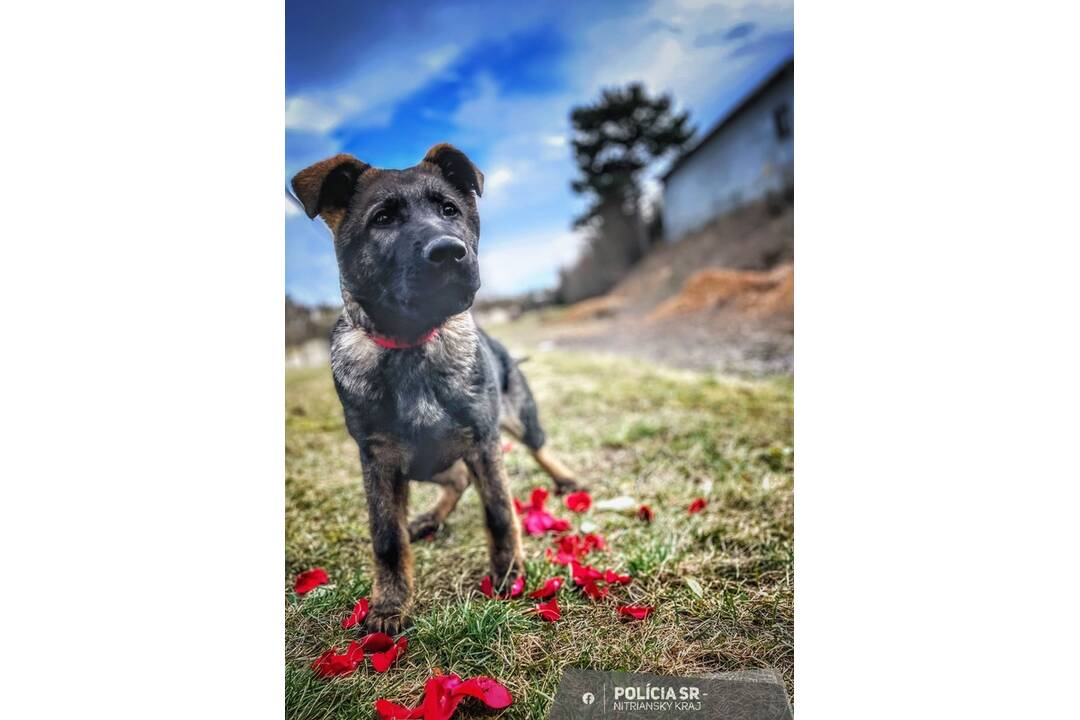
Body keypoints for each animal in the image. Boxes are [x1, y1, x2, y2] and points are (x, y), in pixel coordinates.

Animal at [291, 143, 583, 634]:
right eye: (383, 219)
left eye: (449, 210)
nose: (449, 252)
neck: (413, 343)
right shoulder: (379, 461)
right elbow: (387, 537)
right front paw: (391, 604)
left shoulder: (483, 441)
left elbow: (499, 512)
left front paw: (508, 573)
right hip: (423, 463)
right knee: (458, 479)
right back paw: (429, 518)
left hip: (517, 419)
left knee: (537, 446)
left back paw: (566, 479)